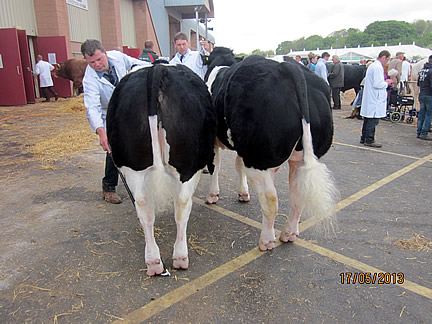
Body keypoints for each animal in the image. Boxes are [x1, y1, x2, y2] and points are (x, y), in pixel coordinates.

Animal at [106, 64, 218, 276]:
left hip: (133, 166)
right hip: (188, 166)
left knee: (144, 208)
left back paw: (153, 262)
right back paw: (180, 257)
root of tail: (157, 69)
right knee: (182, 205)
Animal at [205, 48, 338, 251]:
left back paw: (267, 241)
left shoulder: (215, 139)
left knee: (270, 201)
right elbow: (237, 165)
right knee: (298, 195)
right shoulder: (241, 146)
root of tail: (289, 67)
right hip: (297, 159)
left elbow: (215, 166)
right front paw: (243, 193)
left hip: (258, 159)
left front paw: (213, 195)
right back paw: (289, 233)